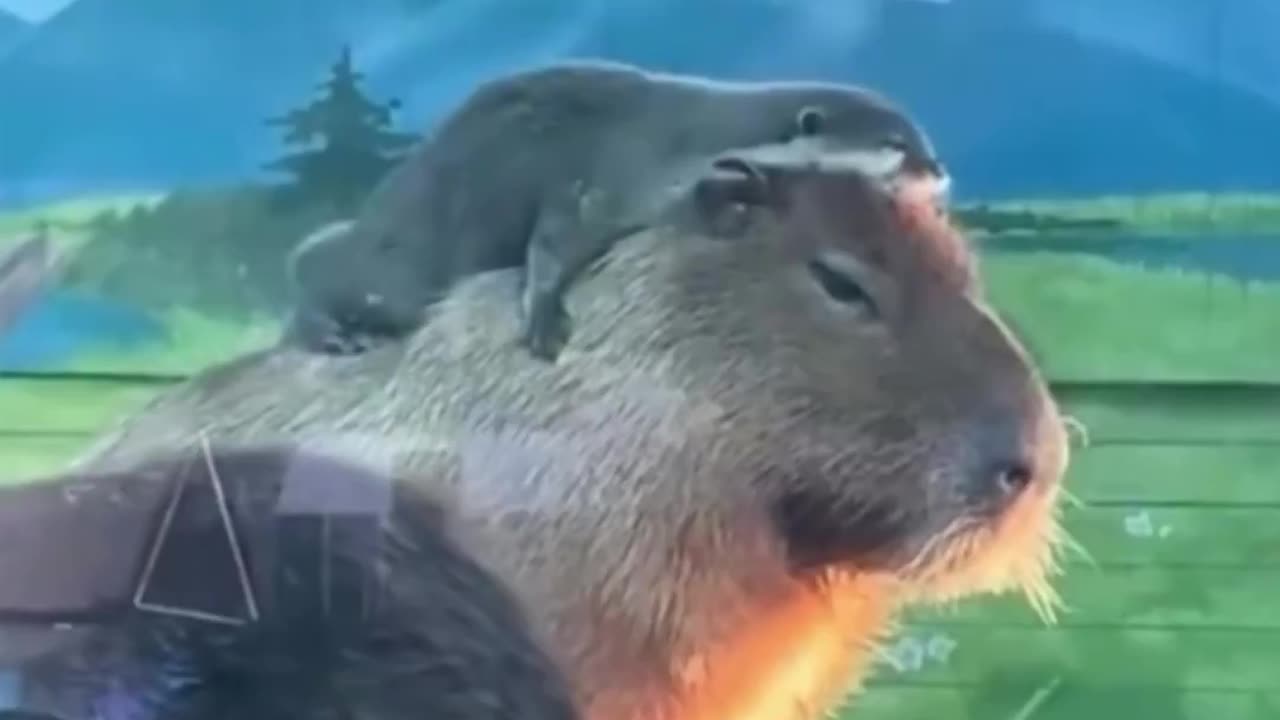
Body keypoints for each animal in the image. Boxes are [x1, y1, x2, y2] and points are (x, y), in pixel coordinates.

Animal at [282, 58, 949, 360]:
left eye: (924, 138)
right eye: (897, 145)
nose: (939, 174)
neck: (676, 138)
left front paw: (732, 201)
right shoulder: (598, 177)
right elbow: (551, 245)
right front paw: (544, 320)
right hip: (383, 260)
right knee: (309, 275)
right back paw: (333, 334)